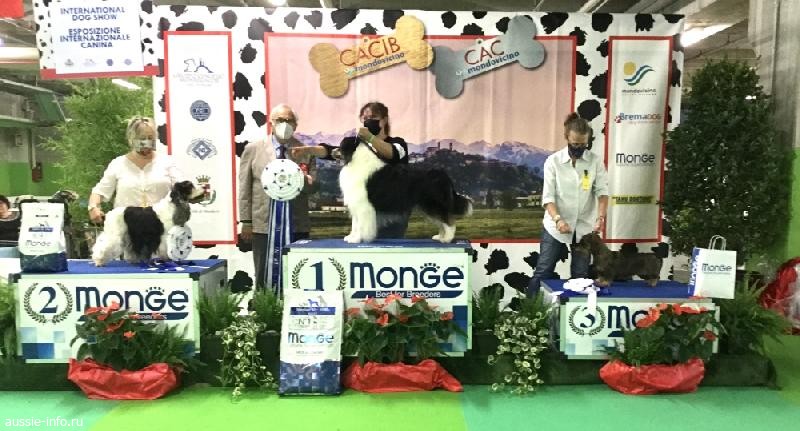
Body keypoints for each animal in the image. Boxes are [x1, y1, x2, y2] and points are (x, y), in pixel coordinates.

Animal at [337, 137, 472, 243]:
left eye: (340, 146)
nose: (333, 150)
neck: (354, 160)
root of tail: (443, 175)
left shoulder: (363, 206)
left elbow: (360, 225)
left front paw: (357, 239)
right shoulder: (356, 204)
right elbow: (355, 224)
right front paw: (351, 238)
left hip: (433, 204)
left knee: (449, 222)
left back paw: (447, 239)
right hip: (428, 207)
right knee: (442, 222)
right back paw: (440, 237)